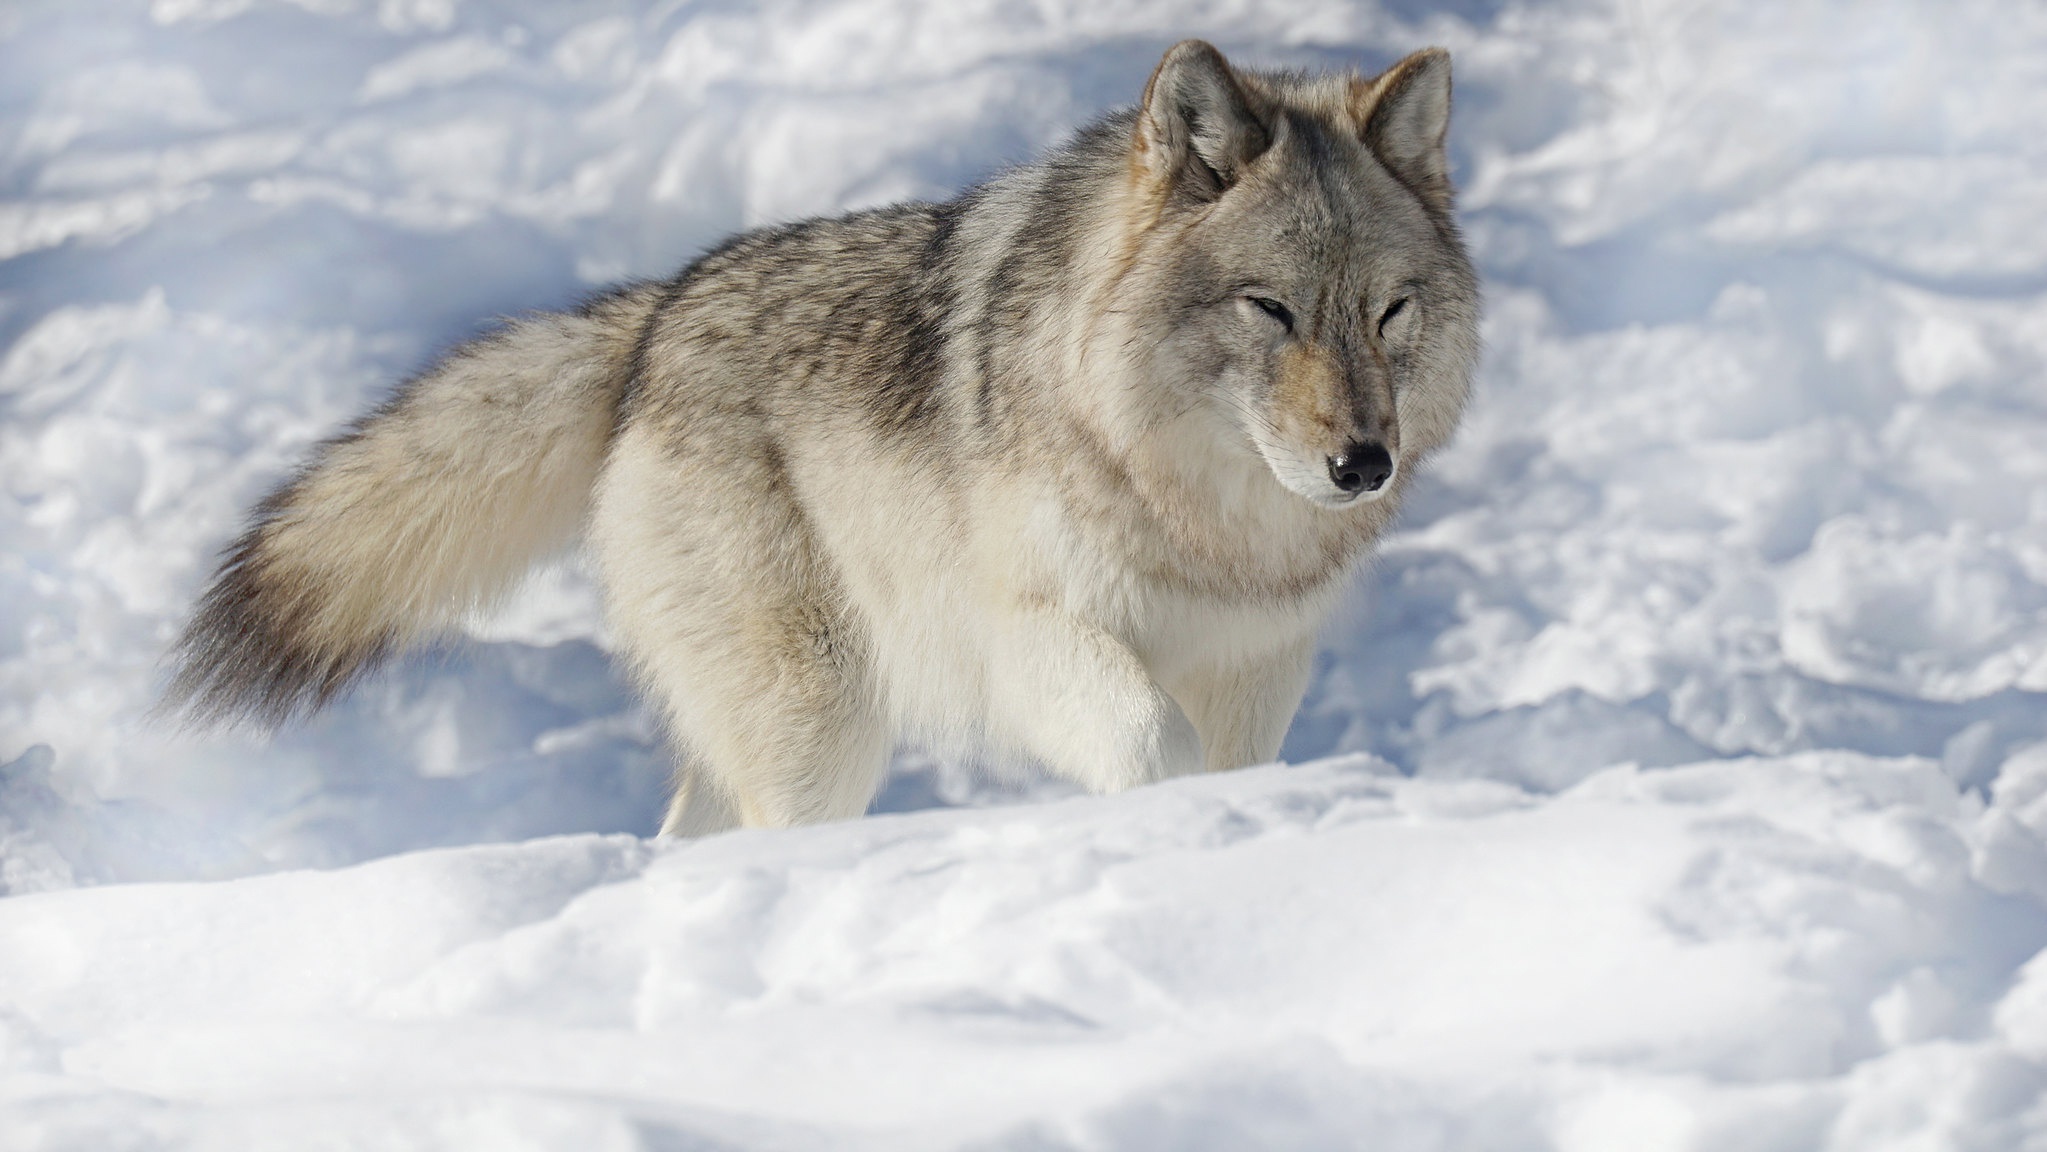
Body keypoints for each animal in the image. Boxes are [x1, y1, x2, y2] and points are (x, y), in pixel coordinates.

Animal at [159, 42, 1473, 838]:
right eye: (1271, 309)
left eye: (1387, 312)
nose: (1363, 464)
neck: (1202, 516)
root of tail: (656, 319)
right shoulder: (1028, 636)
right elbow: (1150, 740)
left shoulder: (1258, 670)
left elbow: (1223, 762)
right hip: (821, 723)